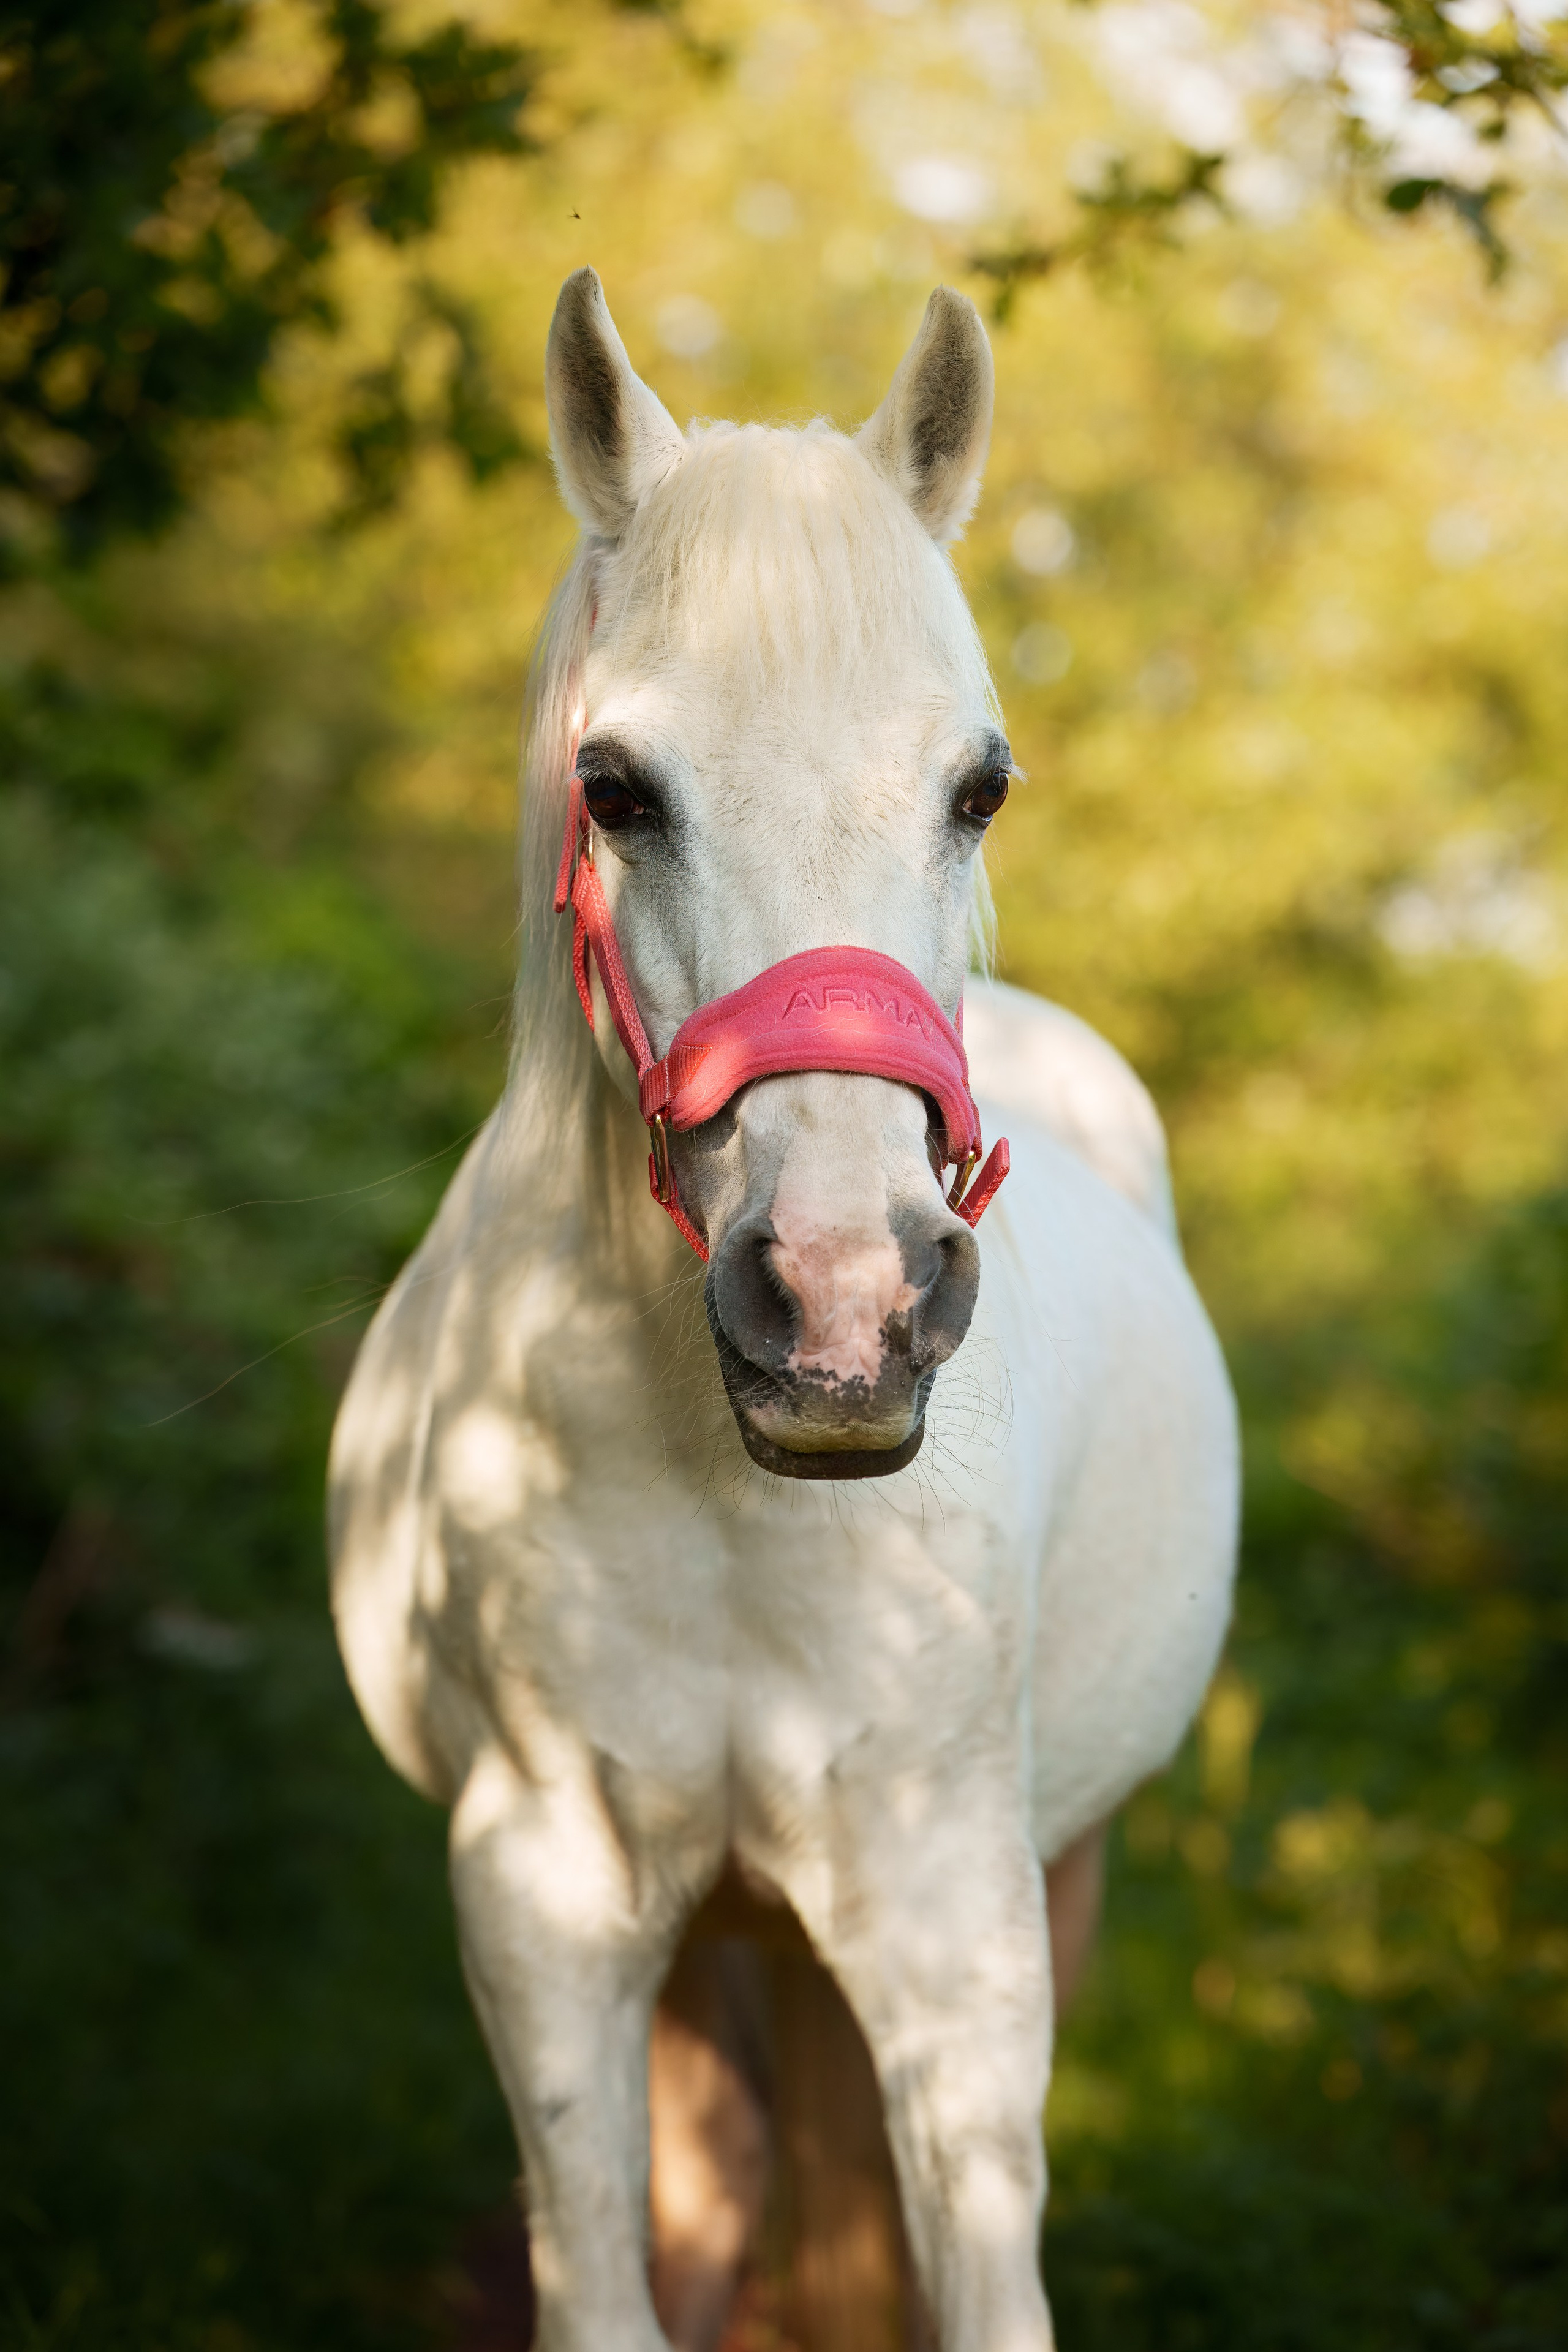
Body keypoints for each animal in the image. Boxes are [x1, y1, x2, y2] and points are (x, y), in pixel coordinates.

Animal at [329, 267, 1239, 2352]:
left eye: (978, 785)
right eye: (615, 788)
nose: (842, 1300)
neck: (734, 1499)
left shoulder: (957, 1927)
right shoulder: (549, 1902)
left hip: (1036, 1866)